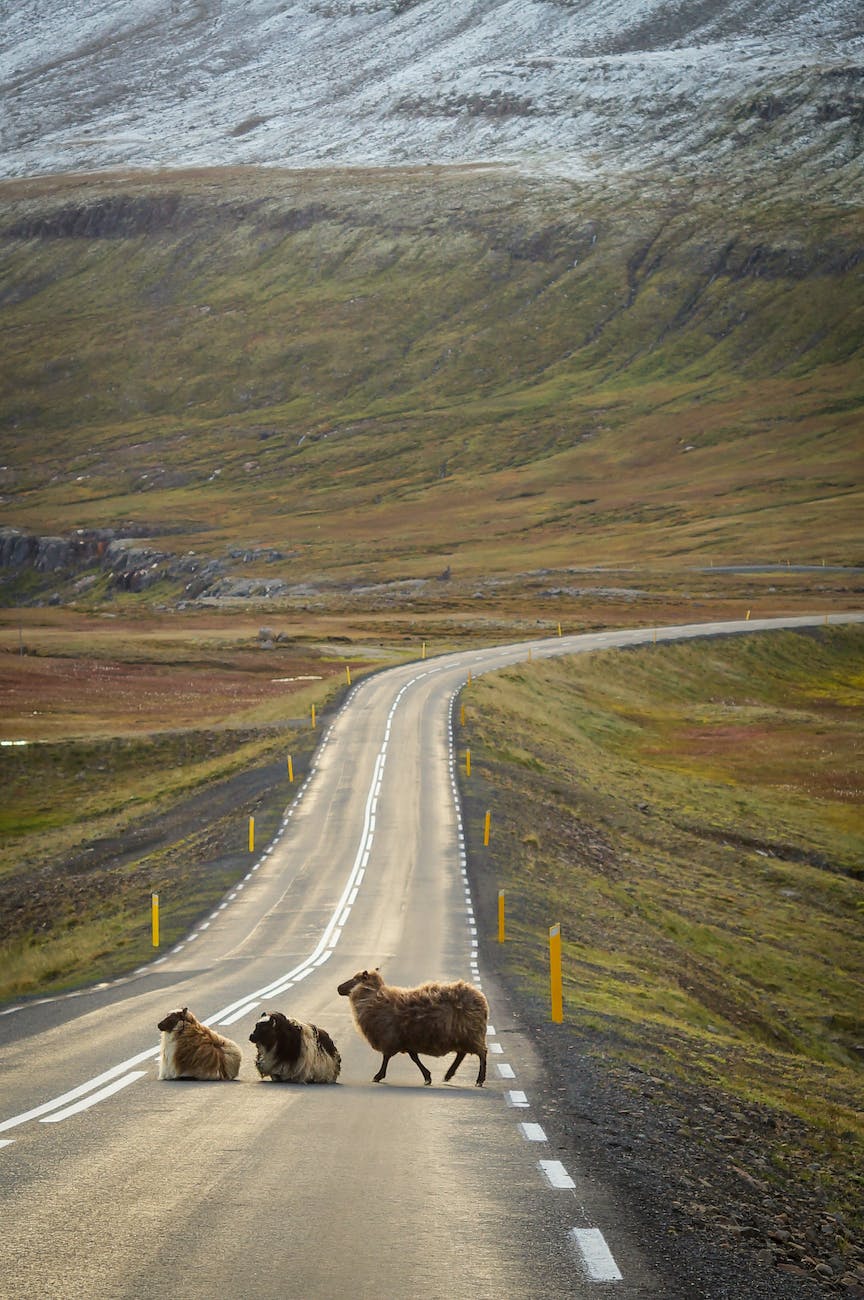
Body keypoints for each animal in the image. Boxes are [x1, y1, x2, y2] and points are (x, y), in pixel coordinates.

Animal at [335, 967, 488, 1086]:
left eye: (355, 979)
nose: (338, 988)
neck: (372, 999)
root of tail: (481, 997)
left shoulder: (391, 1037)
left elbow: (387, 1057)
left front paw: (378, 1076)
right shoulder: (406, 1039)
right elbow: (414, 1057)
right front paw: (427, 1077)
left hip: (471, 1033)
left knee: (482, 1053)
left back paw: (479, 1080)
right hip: (463, 1035)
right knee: (462, 1054)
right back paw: (448, 1075)